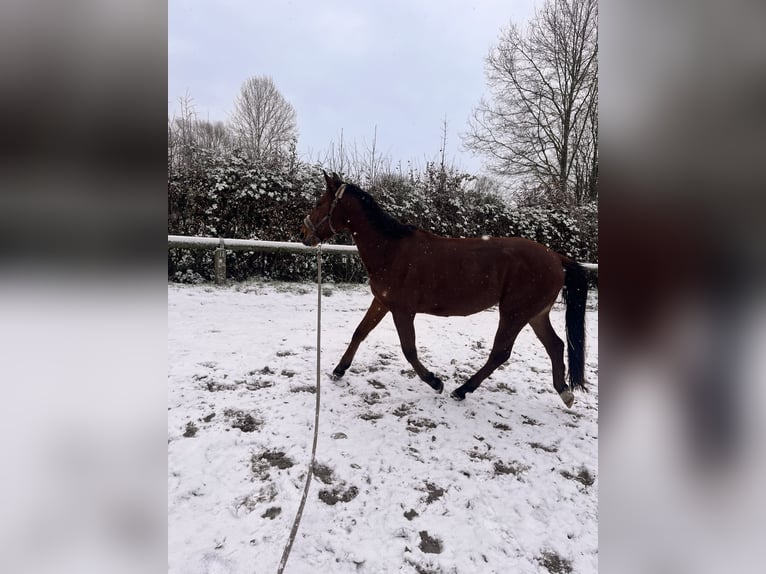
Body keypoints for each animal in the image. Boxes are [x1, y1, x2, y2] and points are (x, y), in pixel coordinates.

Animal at [300, 171, 588, 407]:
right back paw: (564, 392)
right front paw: (339, 370)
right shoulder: (382, 302)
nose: (304, 234)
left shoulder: (402, 311)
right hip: (535, 314)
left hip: (514, 313)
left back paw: (461, 390)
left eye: (318, 204)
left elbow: (409, 349)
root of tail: (557, 258)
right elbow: (360, 332)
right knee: (556, 345)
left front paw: (435, 381)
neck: (392, 249)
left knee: (500, 353)